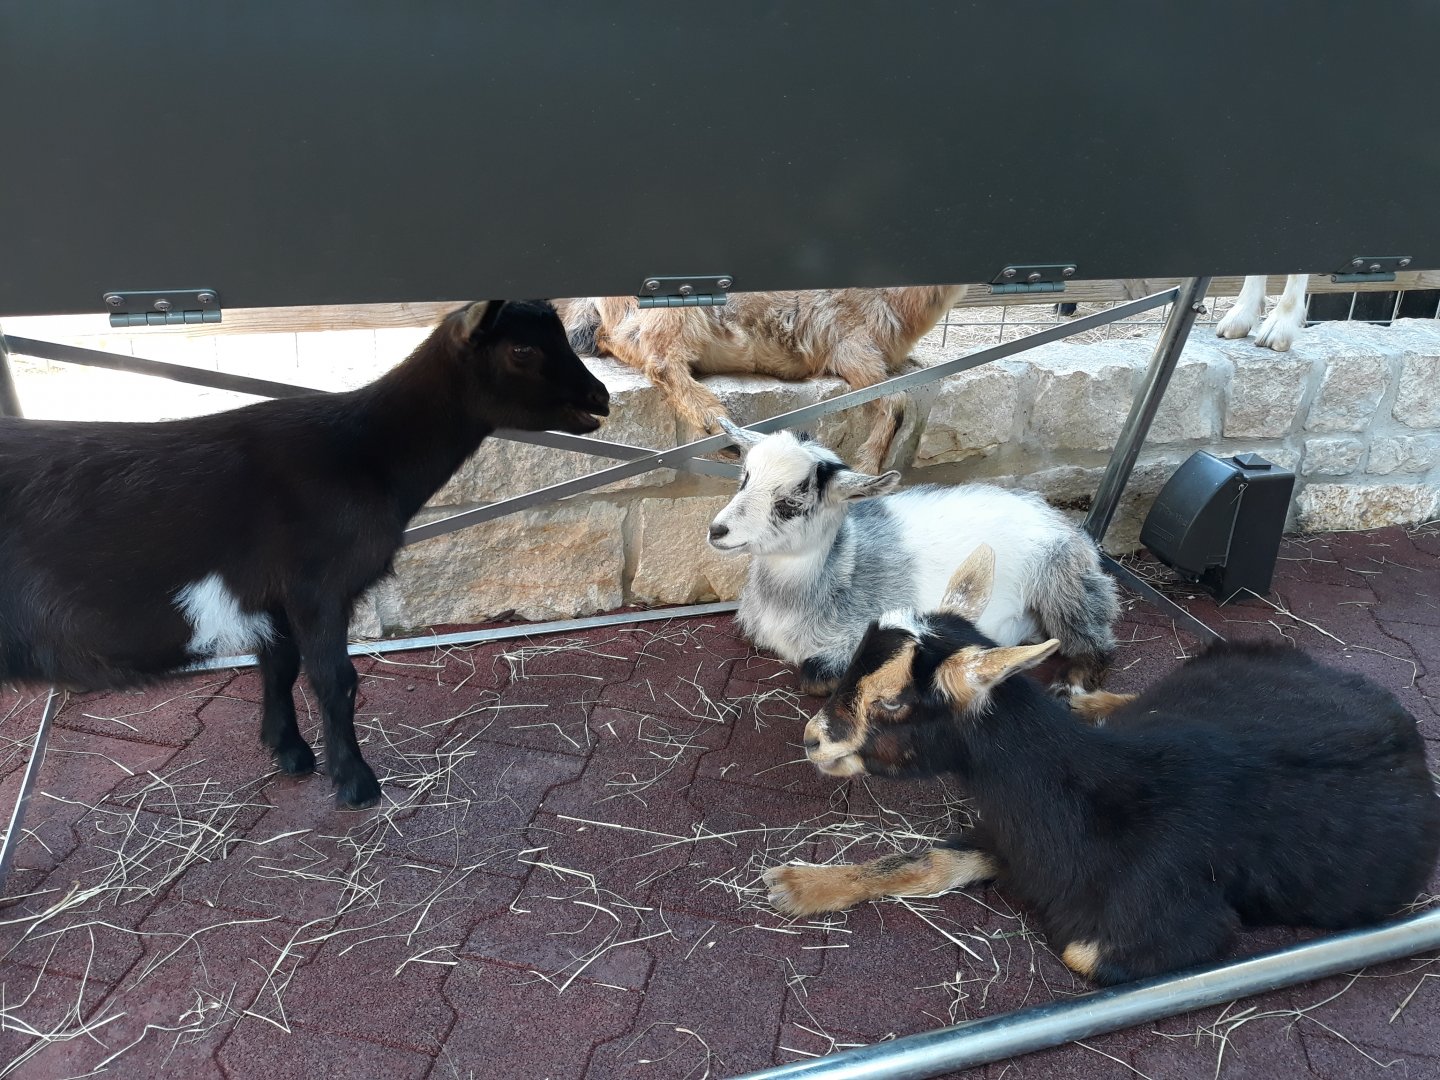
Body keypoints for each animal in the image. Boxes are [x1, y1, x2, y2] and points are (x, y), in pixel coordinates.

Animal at [0, 300, 610, 808]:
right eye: (522, 350)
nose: (599, 398)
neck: (366, 453)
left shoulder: (273, 590)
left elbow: (279, 664)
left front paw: (289, 751)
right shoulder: (318, 585)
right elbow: (334, 678)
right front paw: (356, 782)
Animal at [556, 285, 964, 473]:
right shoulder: (851, 344)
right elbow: (897, 401)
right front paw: (867, 465)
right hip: (674, 312)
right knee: (659, 361)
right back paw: (719, 427)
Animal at [707, 422, 1118, 696]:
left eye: (791, 502)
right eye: (745, 478)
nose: (717, 530)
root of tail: (1062, 523)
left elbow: (815, 678)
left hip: (1062, 584)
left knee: (1097, 642)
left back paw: (1072, 684)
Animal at [763, 545, 1440, 984]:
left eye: (893, 701)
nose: (813, 740)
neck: (1089, 794)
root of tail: (1401, 721)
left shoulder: (1184, 928)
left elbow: (1080, 954)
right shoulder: (1015, 837)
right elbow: (930, 860)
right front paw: (801, 884)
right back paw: (1087, 700)